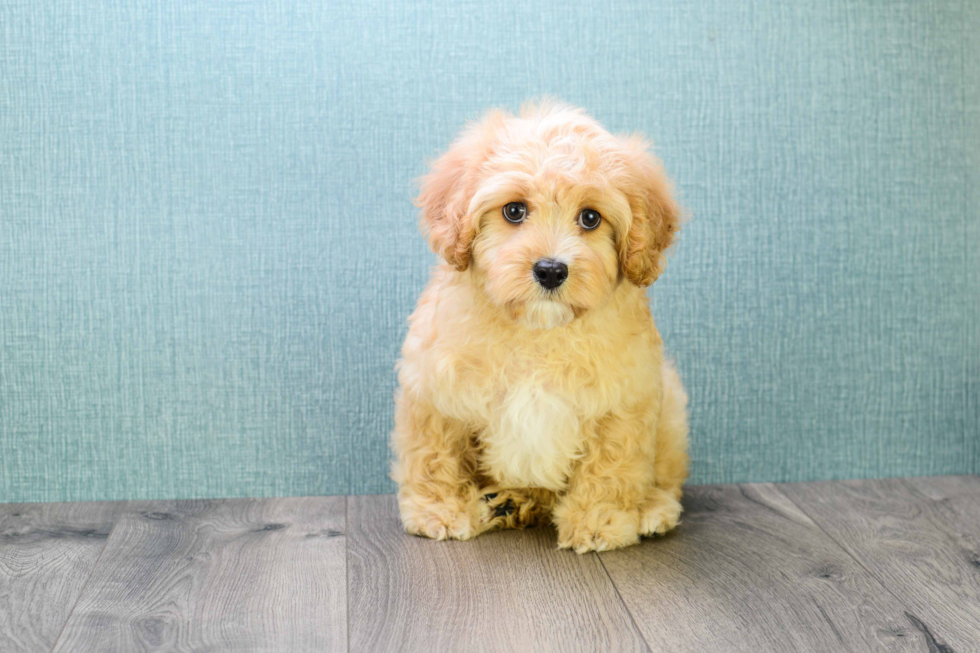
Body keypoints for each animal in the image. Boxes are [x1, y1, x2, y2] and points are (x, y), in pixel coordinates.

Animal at [390, 100, 688, 552]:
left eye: (590, 218)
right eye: (514, 210)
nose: (550, 269)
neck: (538, 332)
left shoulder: (626, 399)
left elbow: (612, 464)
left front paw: (599, 520)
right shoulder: (436, 390)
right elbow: (434, 454)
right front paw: (437, 511)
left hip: (670, 412)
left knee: (663, 478)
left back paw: (652, 509)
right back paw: (509, 502)